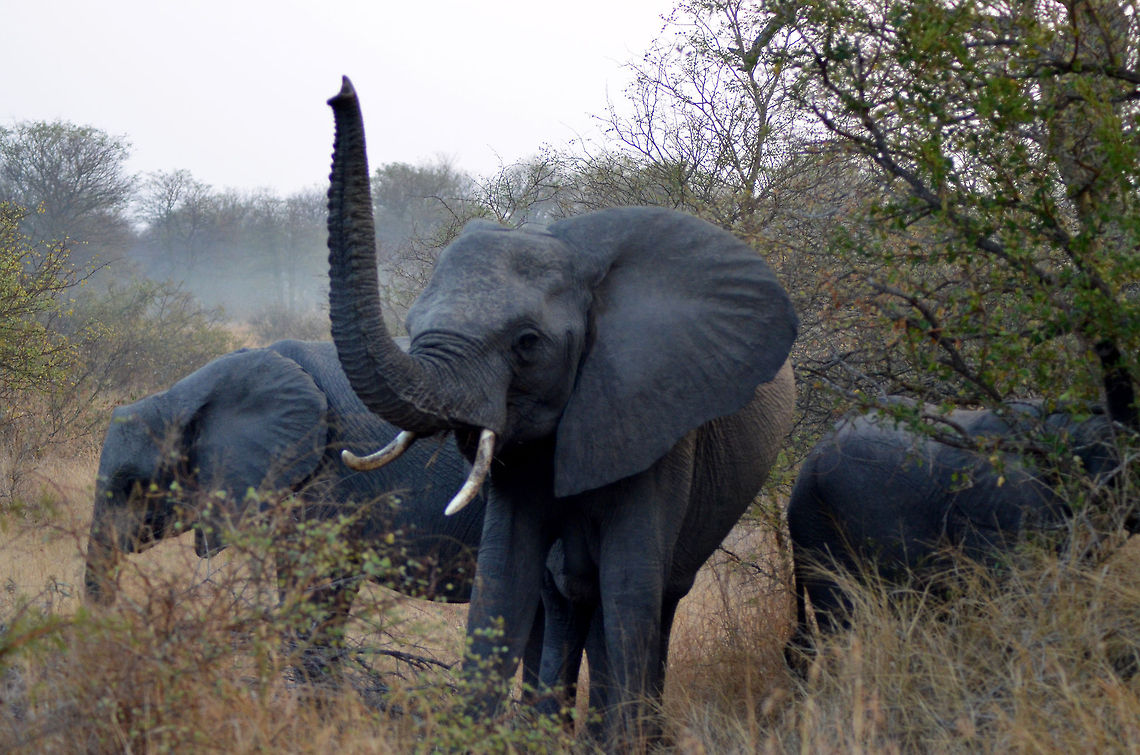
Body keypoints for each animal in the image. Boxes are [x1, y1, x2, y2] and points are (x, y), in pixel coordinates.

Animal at [323, 77, 798, 743]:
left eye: (527, 344)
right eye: (412, 325)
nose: (339, 90)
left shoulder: (656, 412)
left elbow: (629, 585)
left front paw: (624, 745)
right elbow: (503, 575)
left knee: (655, 596)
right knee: (568, 595)